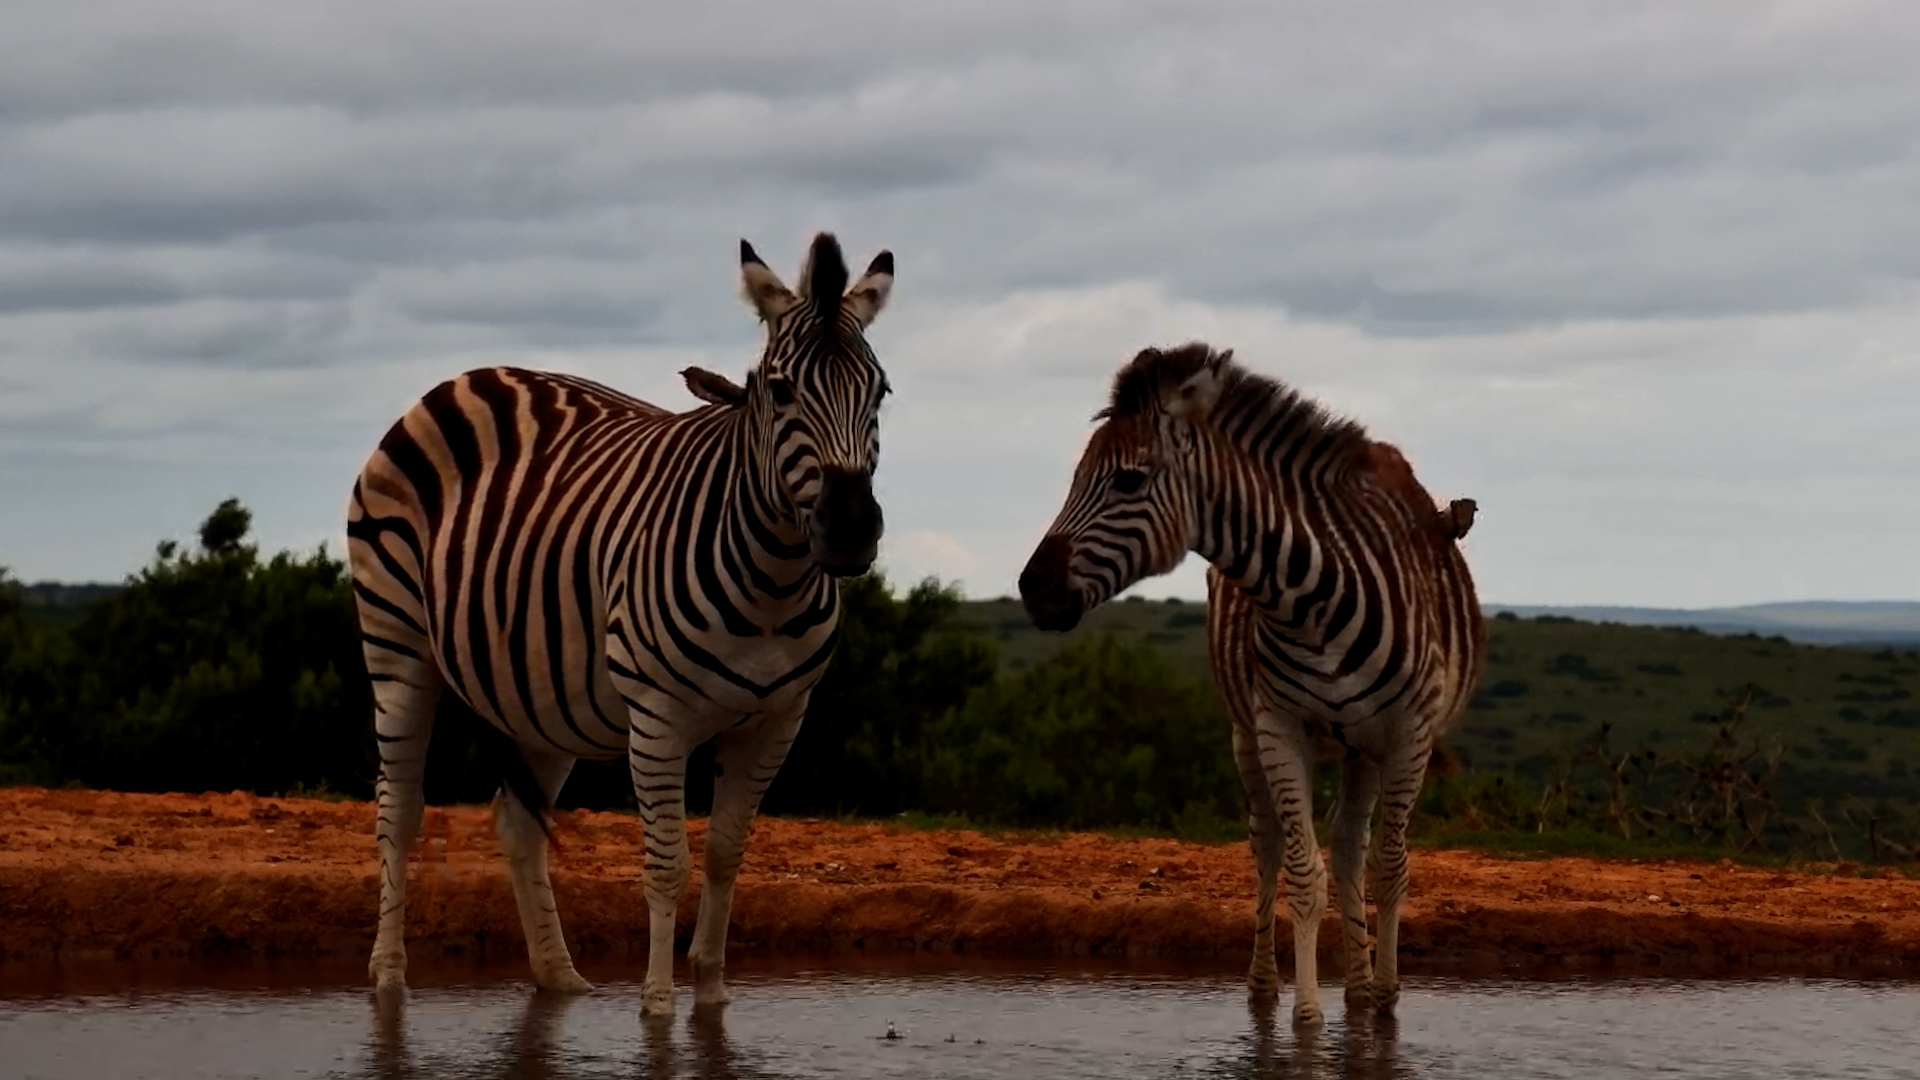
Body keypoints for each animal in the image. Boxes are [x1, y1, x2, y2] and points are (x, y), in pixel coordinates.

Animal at [346, 232, 895, 1016]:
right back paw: (389, 980)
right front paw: (658, 1010)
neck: (772, 585)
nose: (849, 530)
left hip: (539, 692)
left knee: (518, 824)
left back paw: (559, 980)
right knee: (399, 810)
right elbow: (668, 863)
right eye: (781, 389)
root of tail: (467, 377)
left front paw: (712, 998)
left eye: (879, 393)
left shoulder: (778, 720)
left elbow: (727, 852)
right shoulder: (659, 716)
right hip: (397, 644)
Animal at [1017, 342, 1483, 1026]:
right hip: (1248, 733)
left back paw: (1362, 990)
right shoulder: (1278, 726)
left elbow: (1389, 868)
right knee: (1270, 845)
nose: (1033, 588)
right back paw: (1269, 988)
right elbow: (1301, 871)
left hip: (1363, 746)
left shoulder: (1409, 735)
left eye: (1128, 481)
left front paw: (1382, 1010)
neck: (1311, 602)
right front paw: (1307, 1020)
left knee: (1353, 847)